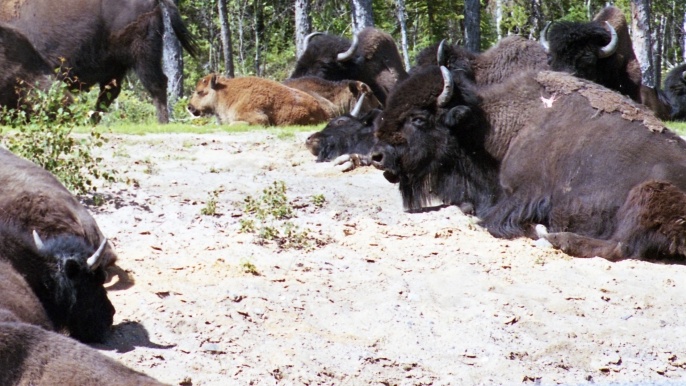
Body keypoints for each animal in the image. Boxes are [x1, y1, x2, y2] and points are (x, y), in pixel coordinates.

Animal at [374, 65, 686, 262]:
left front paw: (534, 228)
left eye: (418, 119)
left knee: (620, 246)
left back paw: (555, 237)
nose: (377, 156)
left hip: (648, 193)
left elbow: (490, 220)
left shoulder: (524, 194)